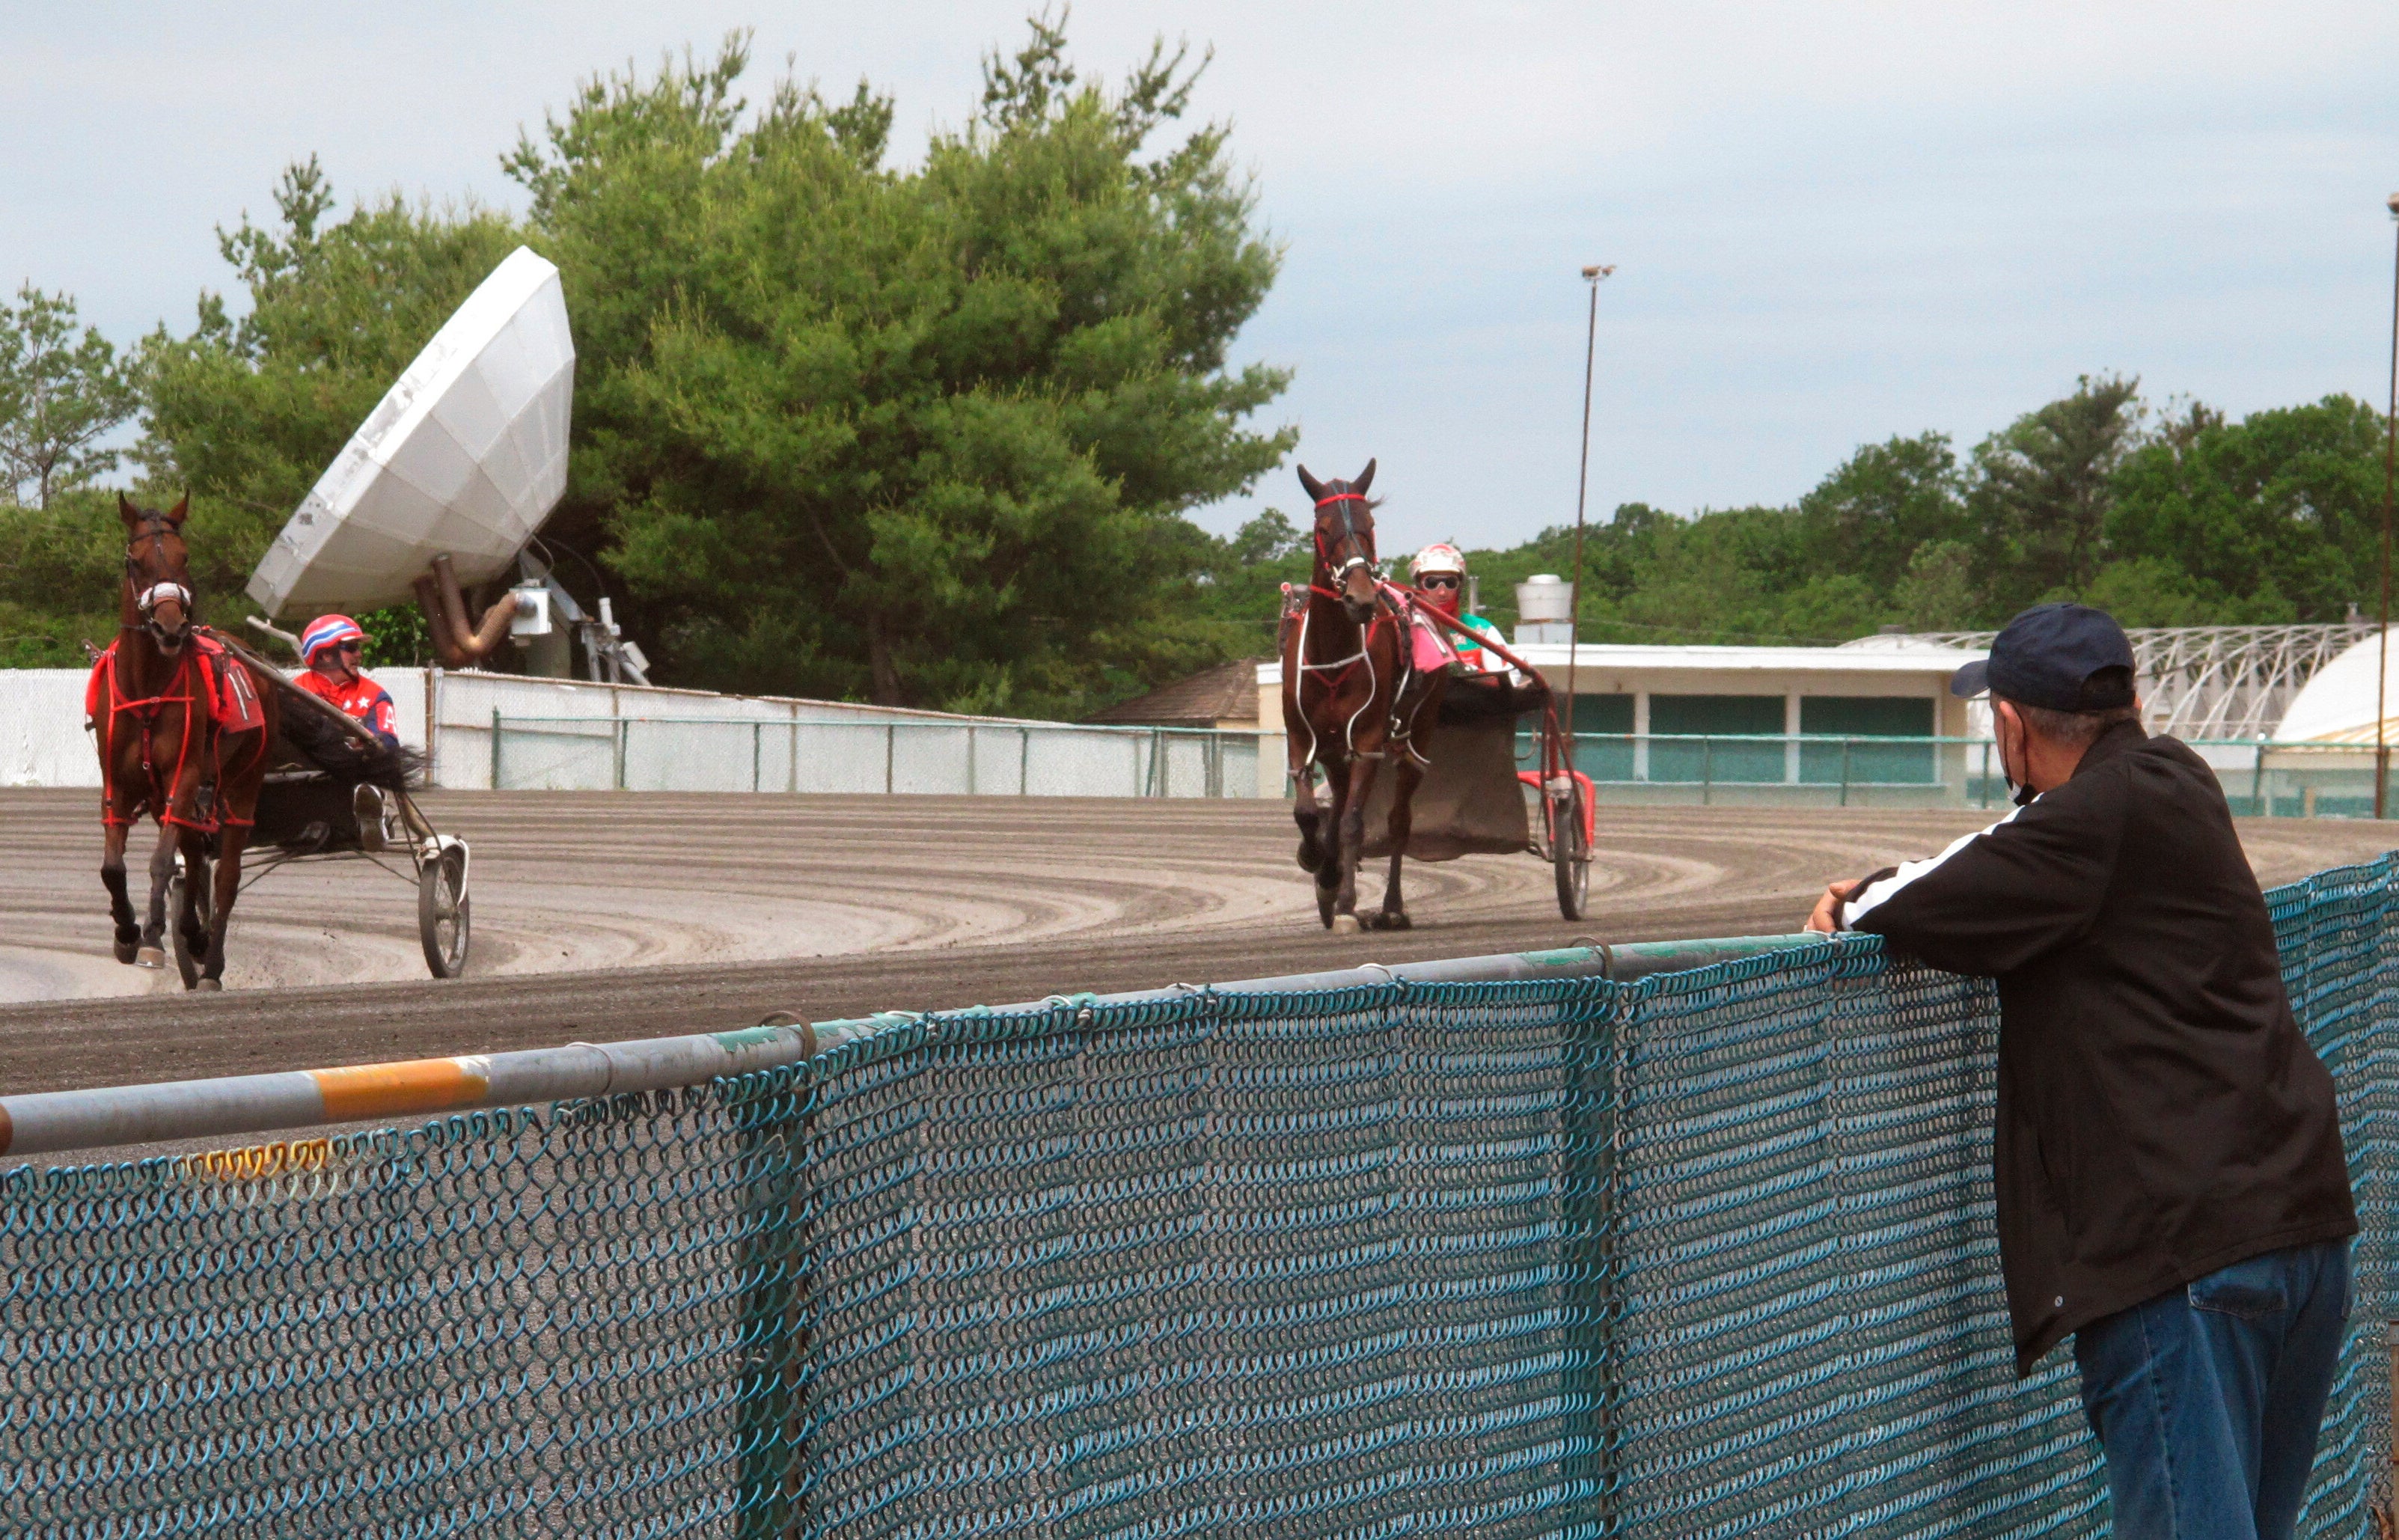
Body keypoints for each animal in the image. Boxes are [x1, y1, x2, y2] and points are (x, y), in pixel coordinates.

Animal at [91, 498, 278, 988]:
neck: (149, 690)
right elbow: (113, 867)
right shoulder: (119, 783)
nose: (171, 627)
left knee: (226, 877)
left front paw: (153, 938)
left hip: (241, 784)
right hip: (167, 796)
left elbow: (160, 862)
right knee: (193, 854)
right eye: (135, 561)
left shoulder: (185, 773)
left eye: (185, 557)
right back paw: (193, 934)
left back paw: (210, 964)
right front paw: (127, 931)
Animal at [1276, 456, 1439, 930]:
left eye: (1370, 523)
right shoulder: (1301, 737)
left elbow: (1352, 822)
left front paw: (1346, 900)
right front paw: (1318, 864)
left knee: (1399, 820)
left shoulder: (1366, 740)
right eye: (1323, 527)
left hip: (1415, 738)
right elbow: (1309, 813)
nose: (1361, 598)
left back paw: (1392, 907)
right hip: (1335, 749)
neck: (1332, 651)